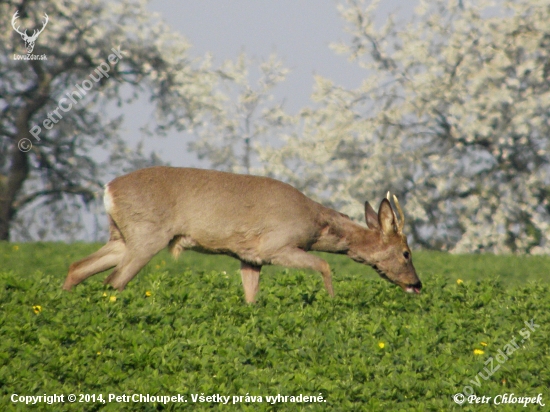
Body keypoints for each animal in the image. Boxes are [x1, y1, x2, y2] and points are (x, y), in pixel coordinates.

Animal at [66, 165, 426, 302]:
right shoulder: (276, 246)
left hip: (121, 236)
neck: (315, 224)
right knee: (113, 281)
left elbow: (251, 298)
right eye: (406, 252)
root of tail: (108, 190)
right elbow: (325, 265)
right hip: (146, 235)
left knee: (77, 268)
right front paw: (332, 303)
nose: (417, 284)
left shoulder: (250, 257)